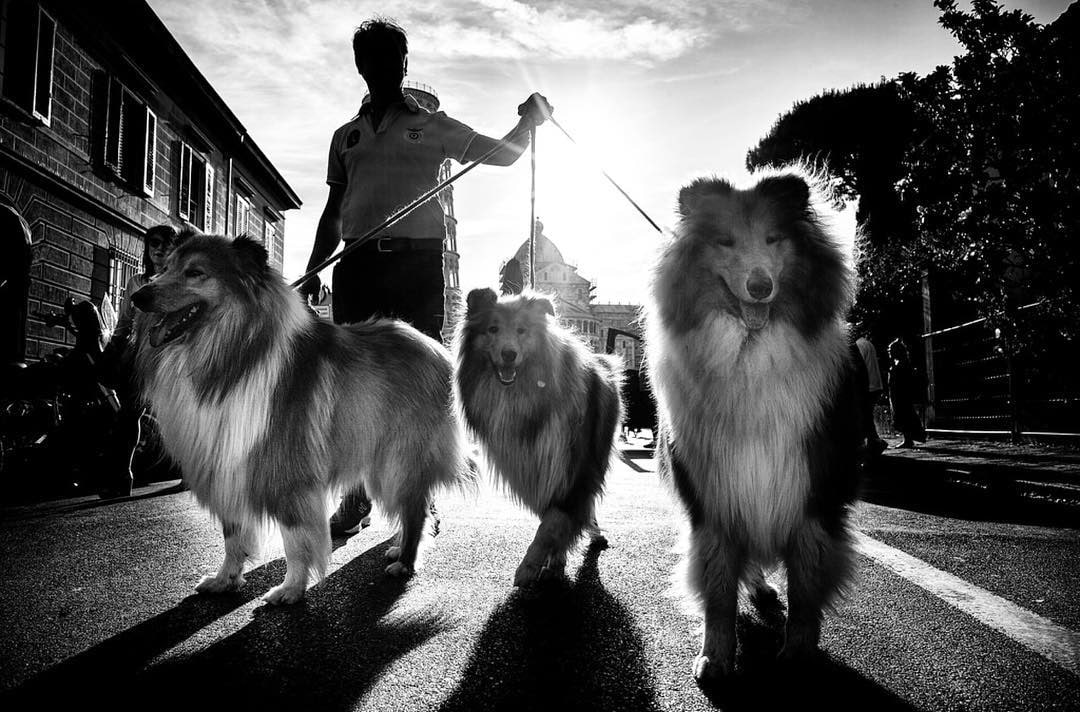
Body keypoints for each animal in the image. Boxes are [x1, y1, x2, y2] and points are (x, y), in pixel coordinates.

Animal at [455, 287, 626, 587]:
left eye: (522, 330)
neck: (523, 398)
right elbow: (553, 519)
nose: (508, 354)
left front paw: (530, 565)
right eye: (492, 329)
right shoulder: (536, 467)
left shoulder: (574, 467)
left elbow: (554, 521)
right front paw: (552, 556)